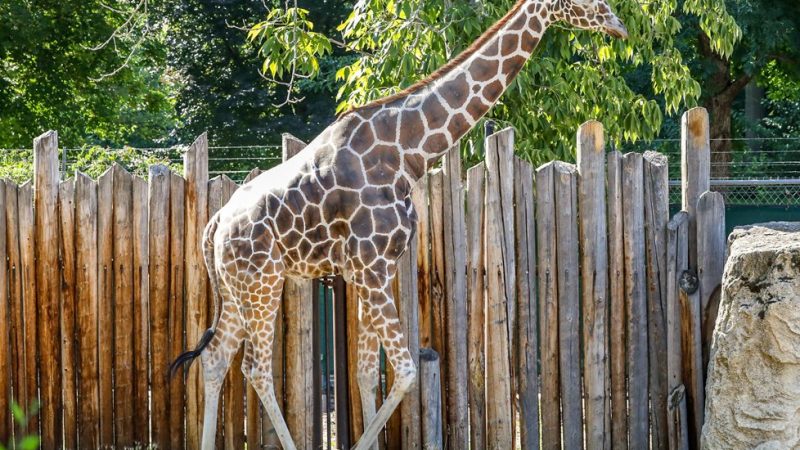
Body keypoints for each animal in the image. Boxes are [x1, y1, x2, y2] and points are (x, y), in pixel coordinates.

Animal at [170, 0, 627, 449]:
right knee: (256, 367)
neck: (408, 152)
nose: (618, 25)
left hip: (237, 289)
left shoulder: (373, 270)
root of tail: (215, 225)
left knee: (215, 358)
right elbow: (405, 371)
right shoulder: (371, 267)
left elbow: (367, 372)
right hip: (263, 282)